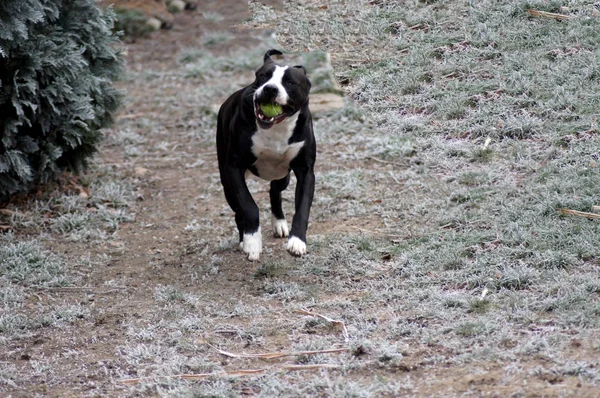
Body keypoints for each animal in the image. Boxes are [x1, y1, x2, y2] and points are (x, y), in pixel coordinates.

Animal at [217, 49, 316, 262]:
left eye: (290, 82)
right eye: (263, 76)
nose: (270, 89)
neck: (276, 129)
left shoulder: (305, 171)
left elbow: (302, 207)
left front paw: (297, 241)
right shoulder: (234, 168)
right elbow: (248, 206)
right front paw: (252, 242)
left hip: (283, 176)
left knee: (274, 191)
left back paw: (279, 223)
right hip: (227, 184)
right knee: (238, 211)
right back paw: (243, 240)